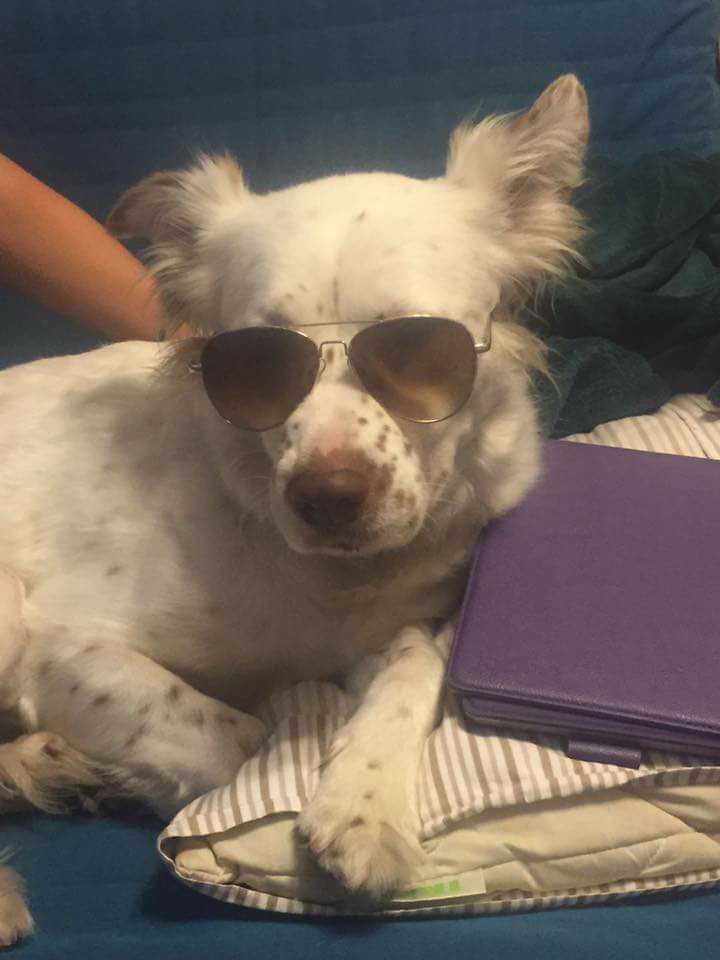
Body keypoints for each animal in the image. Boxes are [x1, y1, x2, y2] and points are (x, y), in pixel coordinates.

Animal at [0, 74, 588, 945]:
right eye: (252, 364)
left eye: (418, 350)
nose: (328, 498)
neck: (321, 580)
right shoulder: (65, 650)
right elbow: (245, 737)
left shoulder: (388, 628)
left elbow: (420, 663)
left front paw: (365, 805)